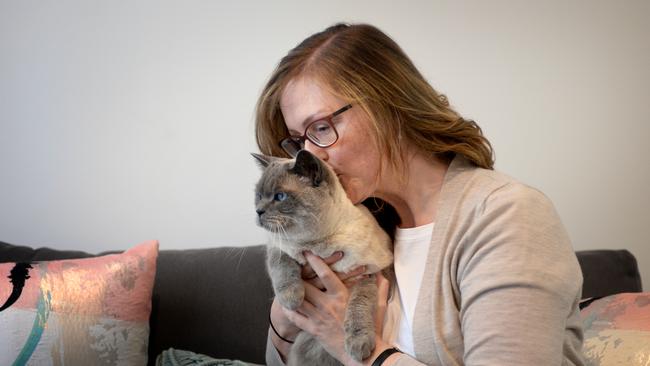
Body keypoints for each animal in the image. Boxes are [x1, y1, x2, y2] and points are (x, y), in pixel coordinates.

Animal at [252, 149, 392, 366]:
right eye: (258, 196)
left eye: (280, 196)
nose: (258, 211)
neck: (317, 245)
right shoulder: (279, 246)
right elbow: (283, 268)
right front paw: (292, 299)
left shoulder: (367, 273)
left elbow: (359, 306)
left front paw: (358, 346)